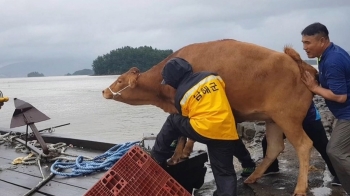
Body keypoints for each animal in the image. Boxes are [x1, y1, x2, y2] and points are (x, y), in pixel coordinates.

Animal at [102, 39, 318, 195]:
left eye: (120, 80)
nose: (104, 91)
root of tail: (300, 64)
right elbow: (187, 137)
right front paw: (185, 153)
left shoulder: (178, 108)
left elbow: (181, 135)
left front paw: (175, 157)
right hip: (273, 119)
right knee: (275, 147)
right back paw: (252, 177)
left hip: (288, 117)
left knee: (304, 145)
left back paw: (300, 188)